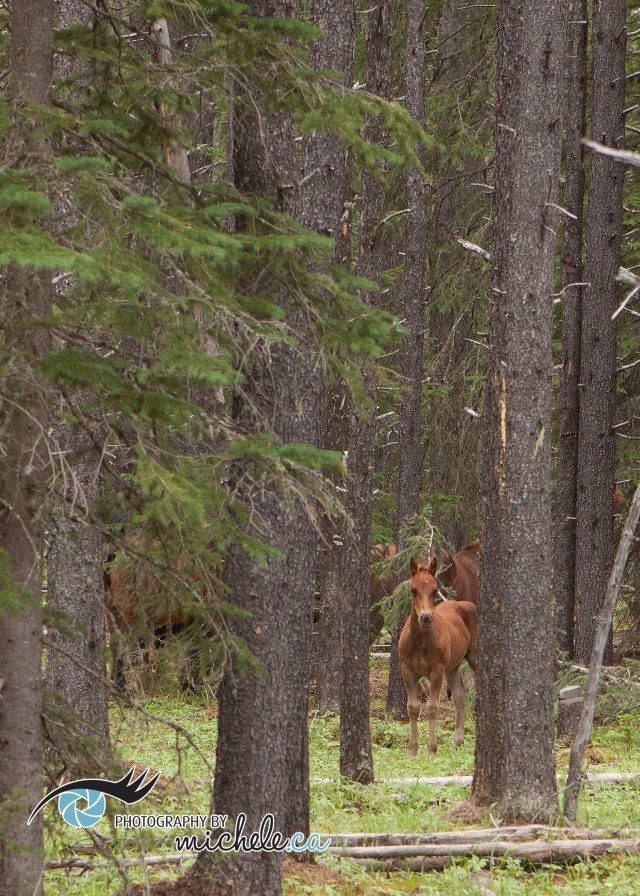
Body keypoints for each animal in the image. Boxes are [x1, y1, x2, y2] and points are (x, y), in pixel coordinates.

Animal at [399, 556, 477, 755]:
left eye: (435, 589)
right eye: (413, 589)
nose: (426, 618)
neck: (420, 641)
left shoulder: (437, 670)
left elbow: (432, 707)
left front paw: (431, 749)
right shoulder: (407, 669)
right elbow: (413, 708)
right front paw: (412, 749)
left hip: (473, 659)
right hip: (453, 668)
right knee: (460, 697)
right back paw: (457, 742)